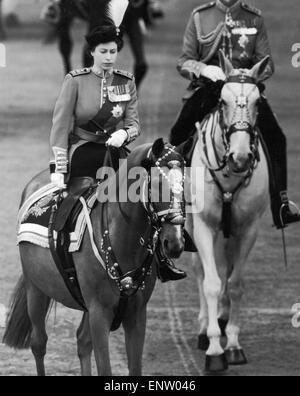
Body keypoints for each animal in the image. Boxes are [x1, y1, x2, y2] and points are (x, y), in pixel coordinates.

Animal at [2, 140, 186, 378]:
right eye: (155, 184)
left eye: (185, 183)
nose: (175, 242)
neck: (119, 237)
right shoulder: (99, 313)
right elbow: (104, 368)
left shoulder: (136, 314)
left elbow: (134, 367)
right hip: (36, 289)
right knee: (39, 343)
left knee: (82, 342)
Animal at [186, 53, 270, 374]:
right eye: (222, 101)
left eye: (258, 103)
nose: (241, 157)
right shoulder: (203, 226)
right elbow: (210, 283)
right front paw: (213, 349)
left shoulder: (248, 229)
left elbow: (235, 283)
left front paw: (232, 344)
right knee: (201, 271)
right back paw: (203, 328)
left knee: (227, 270)